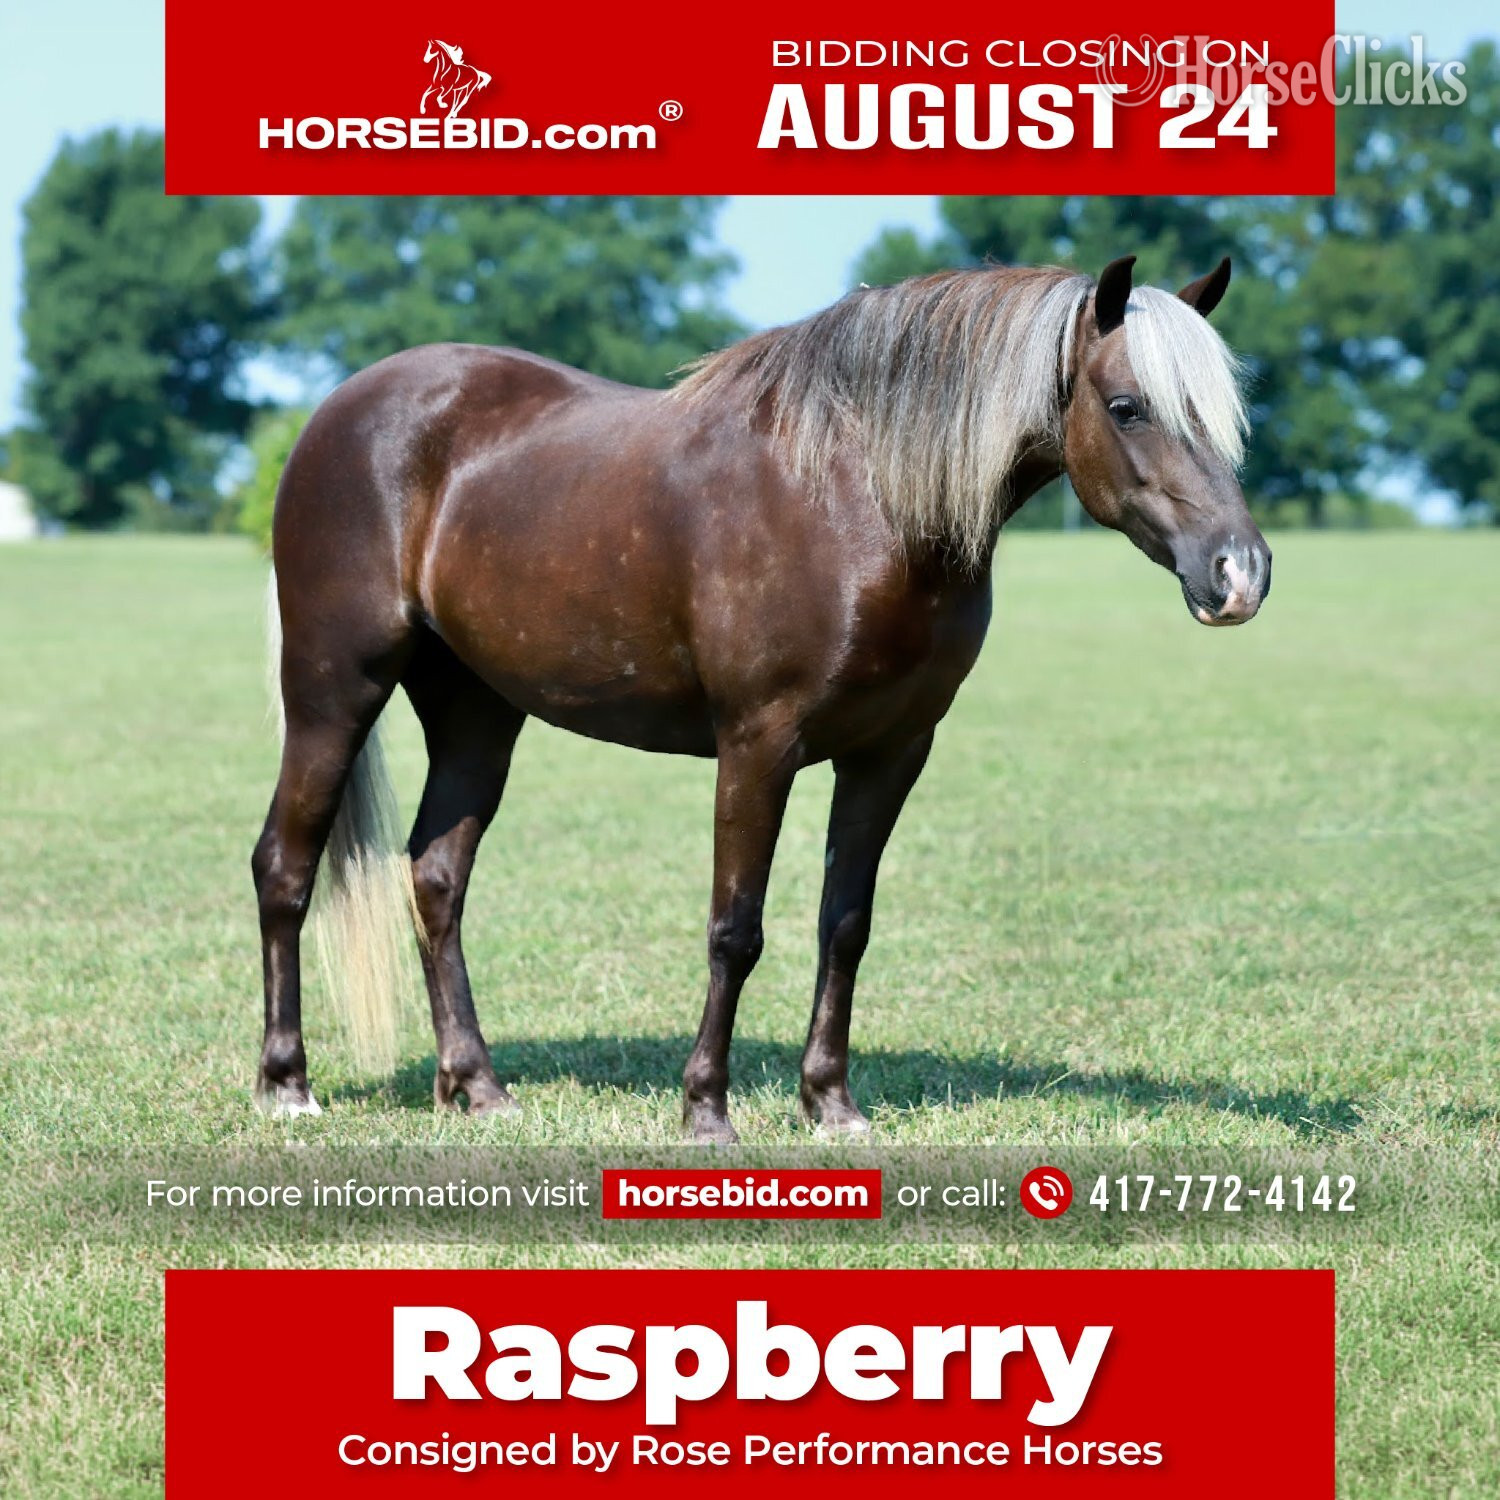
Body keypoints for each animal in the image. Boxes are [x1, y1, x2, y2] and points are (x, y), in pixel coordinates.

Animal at [253, 254, 1270, 1142]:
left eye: (1224, 415)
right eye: (1128, 406)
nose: (1241, 573)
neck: (860, 498)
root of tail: (340, 411)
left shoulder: (893, 750)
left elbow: (846, 925)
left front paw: (831, 1103)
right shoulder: (759, 744)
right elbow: (734, 930)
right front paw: (706, 1110)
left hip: (476, 711)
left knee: (436, 876)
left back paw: (475, 1086)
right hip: (334, 689)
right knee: (285, 867)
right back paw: (287, 1085)